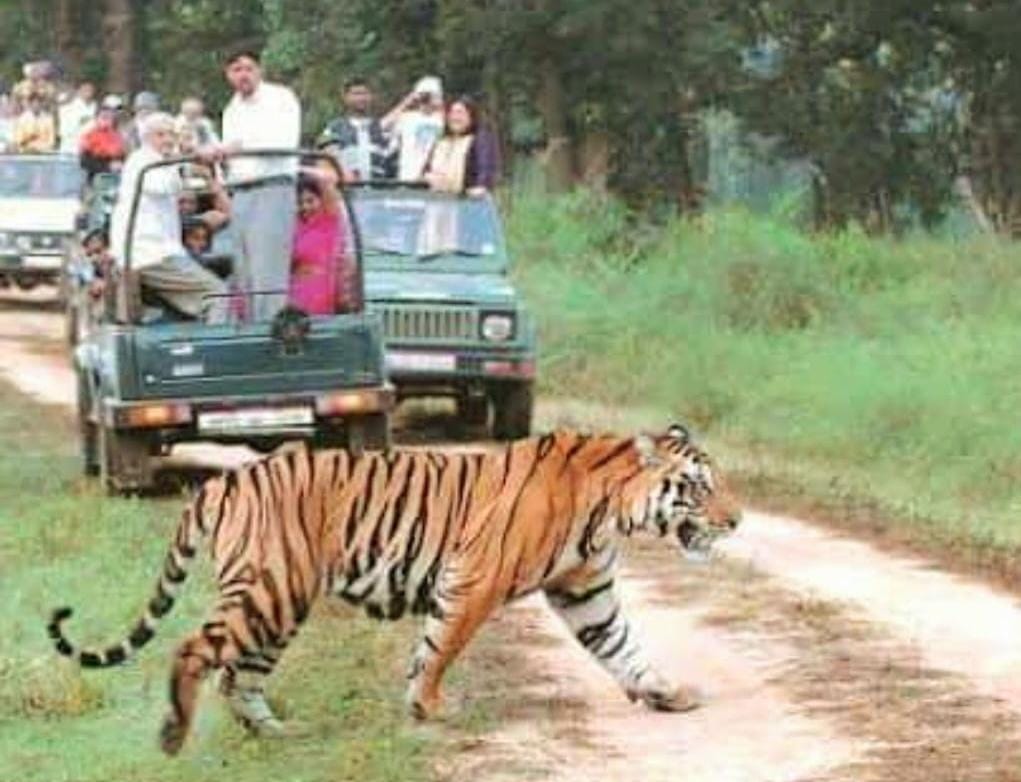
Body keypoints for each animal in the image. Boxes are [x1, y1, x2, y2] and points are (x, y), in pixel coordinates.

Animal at [47, 424, 741, 756]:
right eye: (699, 487)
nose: (736, 521)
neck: (610, 508)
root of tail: (224, 480)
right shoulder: (475, 580)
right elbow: (441, 646)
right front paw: (428, 706)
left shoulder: (585, 591)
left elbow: (621, 646)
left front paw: (666, 693)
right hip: (271, 589)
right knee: (194, 651)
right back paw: (173, 734)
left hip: (278, 602)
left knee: (237, 675)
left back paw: (276, 734)